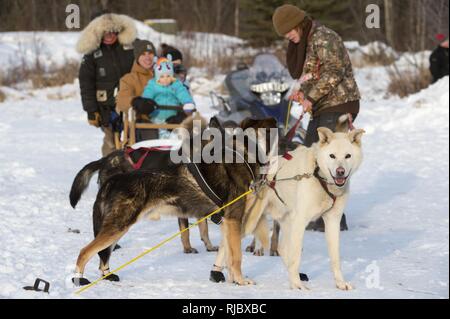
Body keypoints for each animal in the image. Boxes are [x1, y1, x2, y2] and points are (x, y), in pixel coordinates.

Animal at [71, 117, 278, 288]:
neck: (243, 156)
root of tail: (112, 180)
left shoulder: (228, 222)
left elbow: (226, 254)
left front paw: (229, 278)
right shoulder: (234, 220)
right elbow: (236, 257)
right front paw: (241, 281)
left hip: (117, 228)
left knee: (103, 254)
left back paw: (108, 276)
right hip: (118, 226)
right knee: (84, 251)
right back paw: (79, 279)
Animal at [213, 126, 364, 292]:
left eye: (347, 156)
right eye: (332, 156)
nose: (340, 171)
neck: (318, 173)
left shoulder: (332, 220)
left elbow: (335, 257)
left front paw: (340, 283)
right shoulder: (300, 221)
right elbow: (296, 256)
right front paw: (297, 285)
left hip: (285, 220)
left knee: (281, 248)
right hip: (250, 221)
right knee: (226, 245)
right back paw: (222, 274)